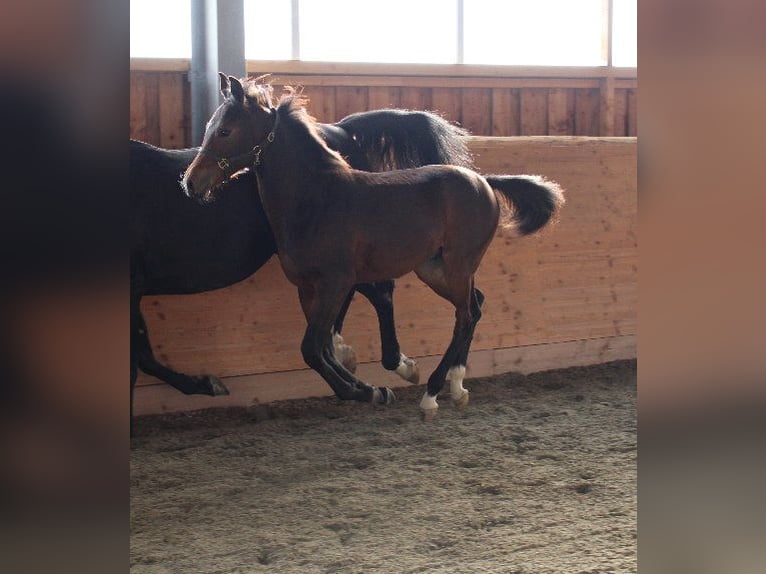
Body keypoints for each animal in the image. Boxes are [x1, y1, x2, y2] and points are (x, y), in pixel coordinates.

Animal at [131, 85, 479, 414]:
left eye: (225, 131)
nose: (190, 183)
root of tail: (341, 129)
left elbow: (140, 359)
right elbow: (142, 356)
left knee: (383, 295)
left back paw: (405, 369)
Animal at [182, 76, 564, 418]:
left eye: (225, 131)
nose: (190, 182)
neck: (317, 199)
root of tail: (482, 180)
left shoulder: (336, 282)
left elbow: (313, 348)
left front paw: (368, 390)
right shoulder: (307, 288)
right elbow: (322, 348)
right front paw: (371, 387)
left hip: (457, 265)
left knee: (465, 315)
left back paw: (432, 394)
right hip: (434, 269)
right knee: (475, 306)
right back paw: (457, 386)